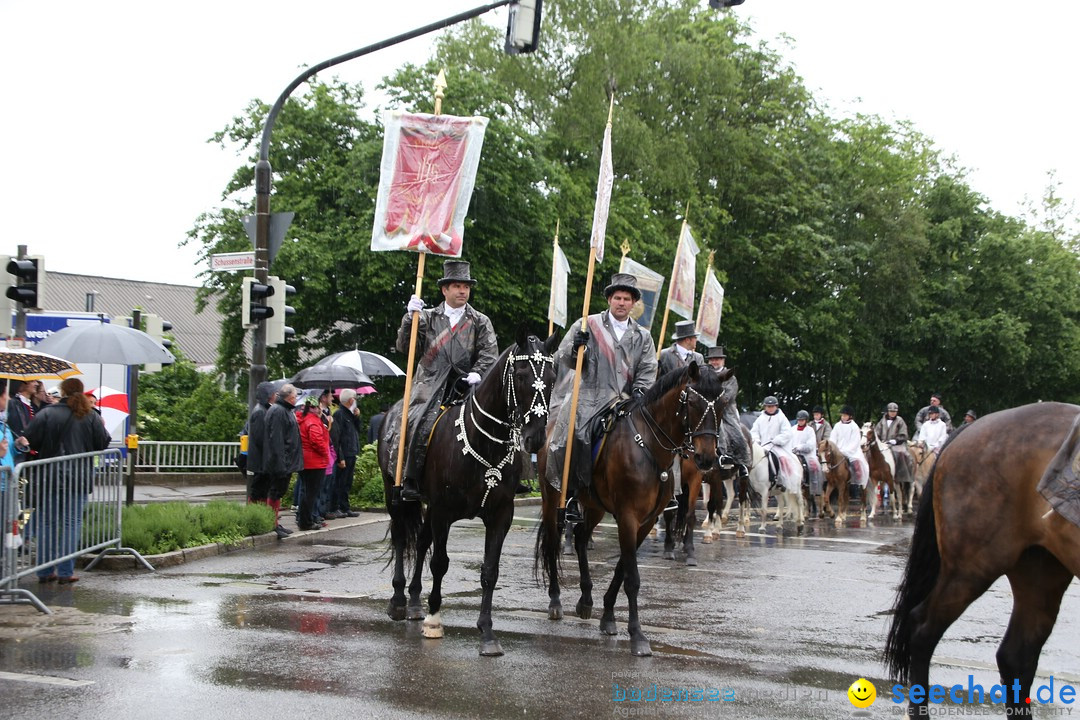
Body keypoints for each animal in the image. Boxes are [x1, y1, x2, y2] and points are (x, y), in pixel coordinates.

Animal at [378, 330, 557, 656]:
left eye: (551, 377)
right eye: (521, 375)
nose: (535, 437)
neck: (484, 442)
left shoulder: (500, 515)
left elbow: (490, 571)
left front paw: (487, 633)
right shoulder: (444, 512)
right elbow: (440, 563)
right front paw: (435, 620)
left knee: (420, 542)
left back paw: (414, 602)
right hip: (393, 492)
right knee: (400, 537)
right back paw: (398, 601)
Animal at [533, 362, 734, 656]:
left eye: (721, 405)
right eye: (693, 403)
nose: (706, 458)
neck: (649, 445)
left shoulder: (645, 522)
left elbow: (621, 569)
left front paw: (607, 616)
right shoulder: (628, 517)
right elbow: (632, 578)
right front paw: (637, 635)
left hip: (594, 506)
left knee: (581, 538)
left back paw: (586, 599)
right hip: (552, 500)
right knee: (552, 544)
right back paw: (556, 600)